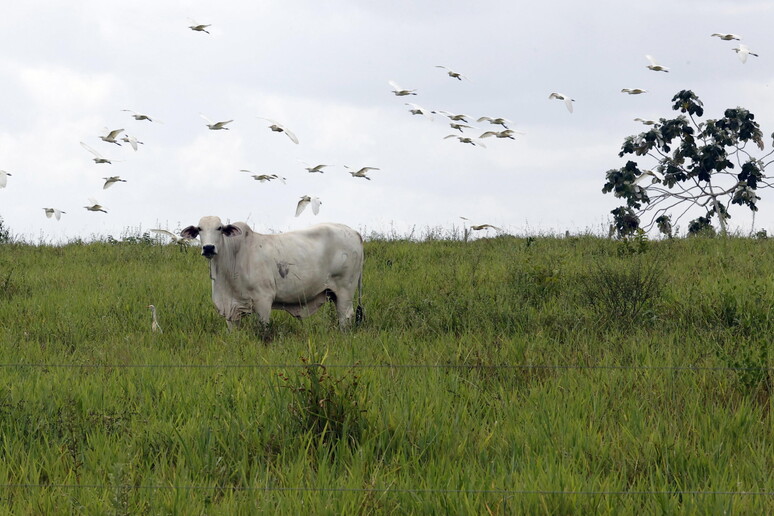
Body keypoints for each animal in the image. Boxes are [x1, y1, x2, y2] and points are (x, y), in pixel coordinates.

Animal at [182, 217, 366, 330]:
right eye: (199, 229)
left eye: (219, 228)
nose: (208, 248)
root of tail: (354, 232)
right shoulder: (231, 309)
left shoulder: (263, 300)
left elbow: (264, 329)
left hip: (345, 290)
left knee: (345, 316)